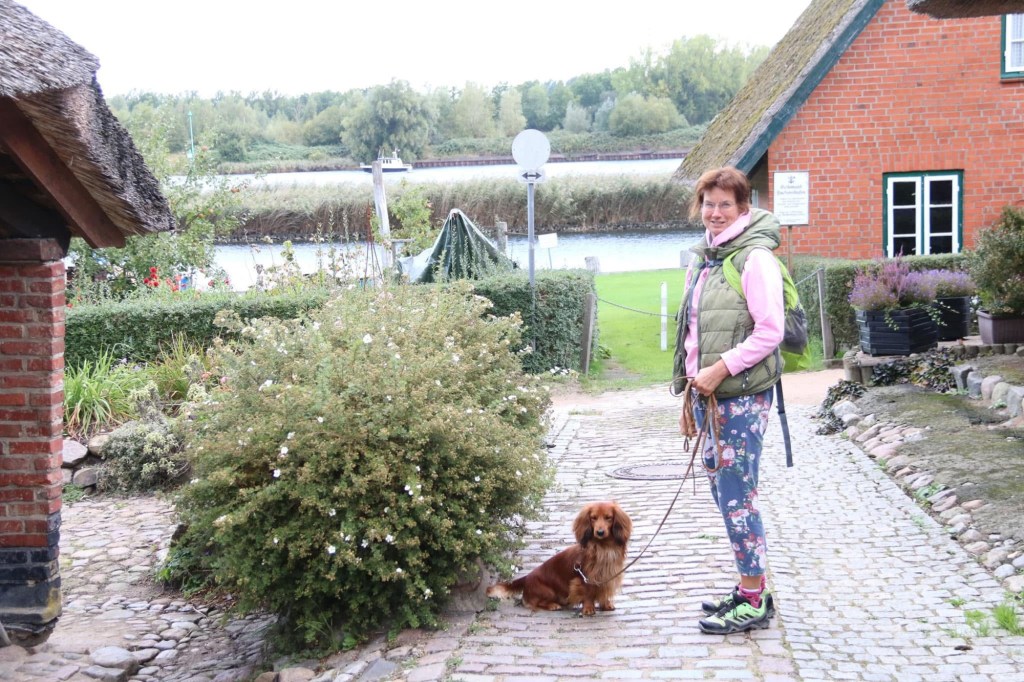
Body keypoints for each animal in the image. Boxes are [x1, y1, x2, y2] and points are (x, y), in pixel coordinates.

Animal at [486, 501, 632, 616]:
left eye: (608, 518)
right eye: (593, 518)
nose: (600, 532)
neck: (603, 547)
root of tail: (526, 577)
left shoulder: (608, 575)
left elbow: (603, 591)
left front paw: (605, 604)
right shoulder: (584, 578)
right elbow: (588, 593)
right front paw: (588, 608)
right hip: (548, 591)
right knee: (533, 603)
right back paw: (553, 605)